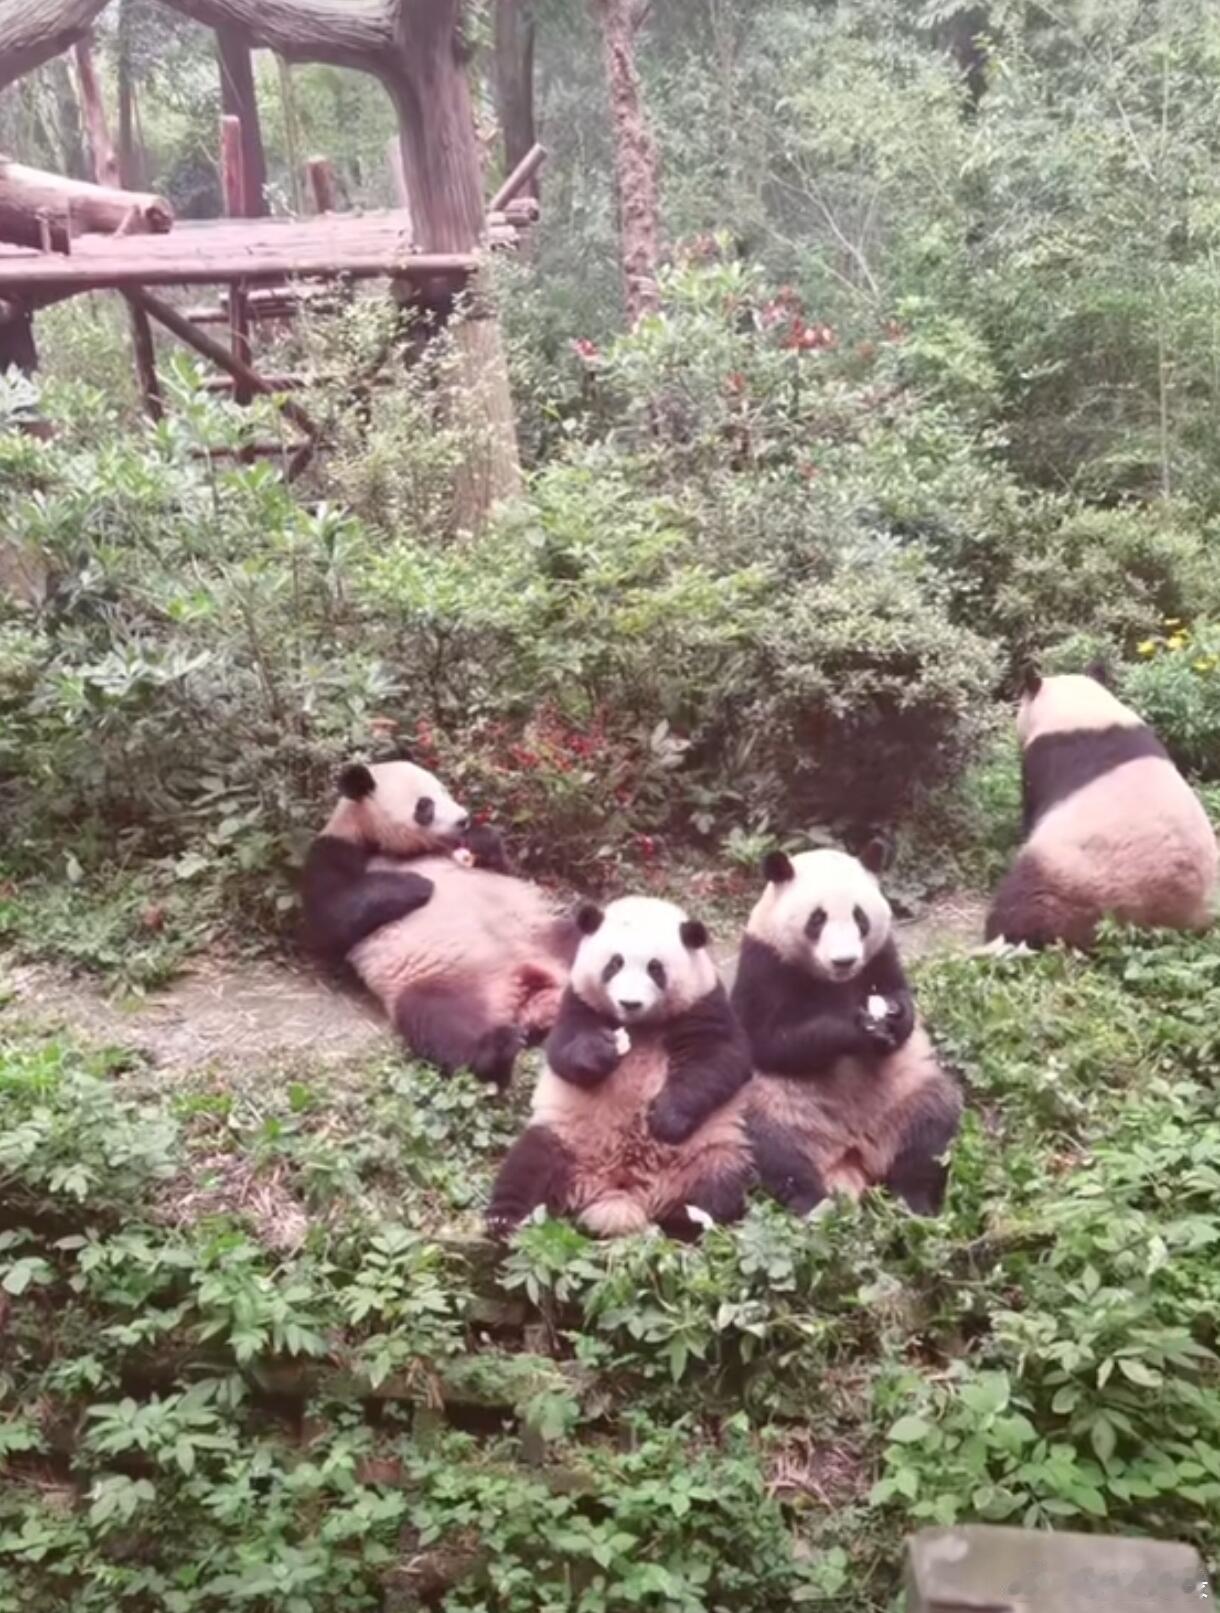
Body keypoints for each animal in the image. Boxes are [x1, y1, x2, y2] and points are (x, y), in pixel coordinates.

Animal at [300, 761, 577, 1090]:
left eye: (444, 789)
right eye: (425, 806)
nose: (463, 820)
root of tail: (532, 993)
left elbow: (505, 869)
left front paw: (481, 838)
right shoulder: (335, 849)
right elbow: (330, 918)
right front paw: (418, 884)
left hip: (547, 934)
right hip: (444, 981)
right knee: (439, 1022)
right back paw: (497, 1051)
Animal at [484, 896, 752, 1232]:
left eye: (655, 968)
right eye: (615, 963)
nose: (630, 1003)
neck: (639, 1026)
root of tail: (620, 1192)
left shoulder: (703, 1003)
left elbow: (722, 1060)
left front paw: (665, 1118)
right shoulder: (578, 1000)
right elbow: (563, 1049)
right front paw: (602, 1052)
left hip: (707, 1152)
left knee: (718, 1187)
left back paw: (687, 1221)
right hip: (567, 1137)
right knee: (528, 1165)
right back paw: (503, 1219)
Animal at [722, 851, 961, 1212]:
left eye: (859, 917)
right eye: (817, 919)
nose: (844, 961)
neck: (835, 981)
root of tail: (855, 1151)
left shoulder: (881, 952)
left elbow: (900, 996)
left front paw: (893, 1016)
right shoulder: (765, 961)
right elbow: (768, 1039)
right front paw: (857, 1029)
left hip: (907, 1091)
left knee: (932, 1128)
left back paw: (913, 1200)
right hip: (779, 1104)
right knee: (772, 1150)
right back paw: (814, 1205)